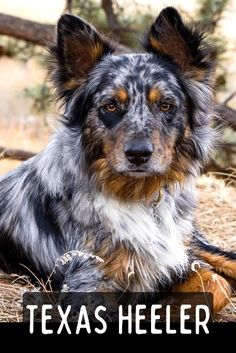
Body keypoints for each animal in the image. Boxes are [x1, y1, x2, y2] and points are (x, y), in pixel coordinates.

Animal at [0, 6, 236, 312]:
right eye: (110, 105)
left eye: (166, 105)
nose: (138, 154)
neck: (140, 198)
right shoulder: (86, 282)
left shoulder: (178, 255)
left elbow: (215, 285)